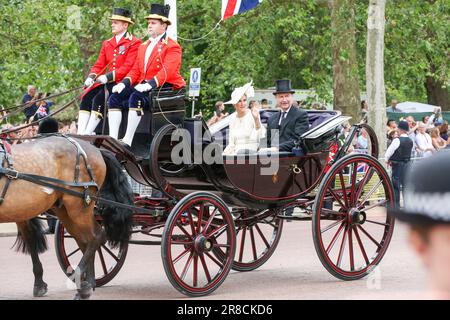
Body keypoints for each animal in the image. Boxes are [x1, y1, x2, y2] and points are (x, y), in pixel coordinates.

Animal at [0, 129, 133, 298]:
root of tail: (96, 150)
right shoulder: (22, 212)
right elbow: (30, 241)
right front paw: (39, 284)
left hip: (78, 207)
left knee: (96, 236)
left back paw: (82, 285)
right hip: (65, 210)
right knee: (86, 240)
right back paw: (89, 282)